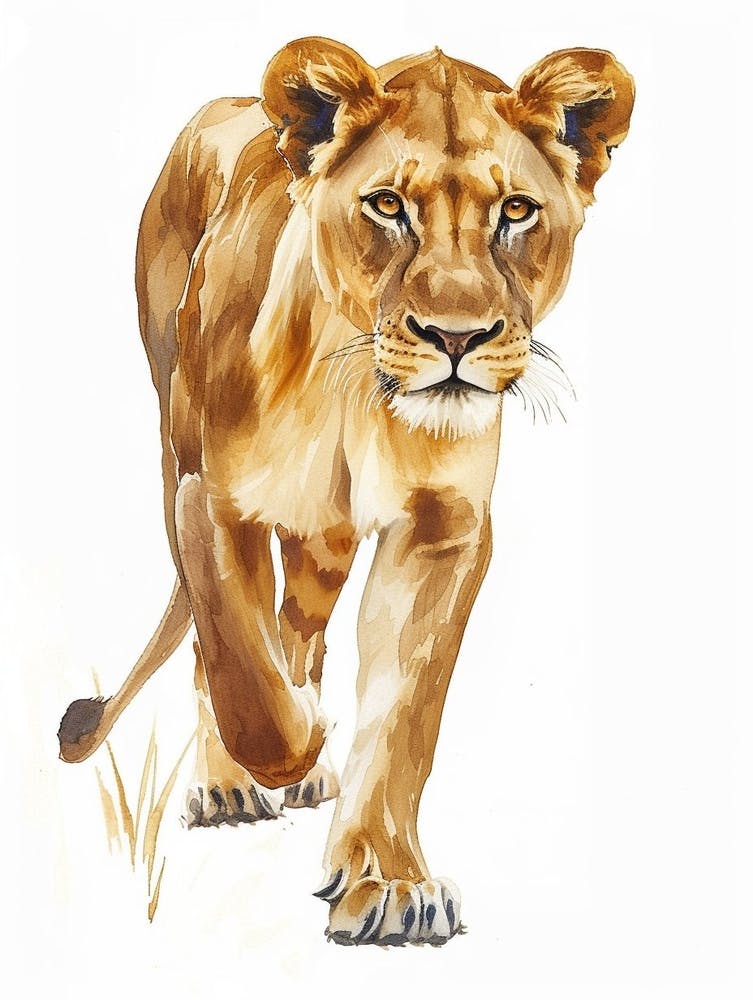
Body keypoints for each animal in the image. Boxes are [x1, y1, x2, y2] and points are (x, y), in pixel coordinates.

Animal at [58, 37, 633, 945]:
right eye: (387, 204)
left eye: (515, 211)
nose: (456, 338)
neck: (355, 387)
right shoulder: (208, 500)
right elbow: (243, 675)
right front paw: (288, 746)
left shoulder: (445, 526)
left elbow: (403, 716)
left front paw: (388, 882)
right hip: (172, 435)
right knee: (225, 643)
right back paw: (233, 781)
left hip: (321, 538)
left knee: (300, 630)